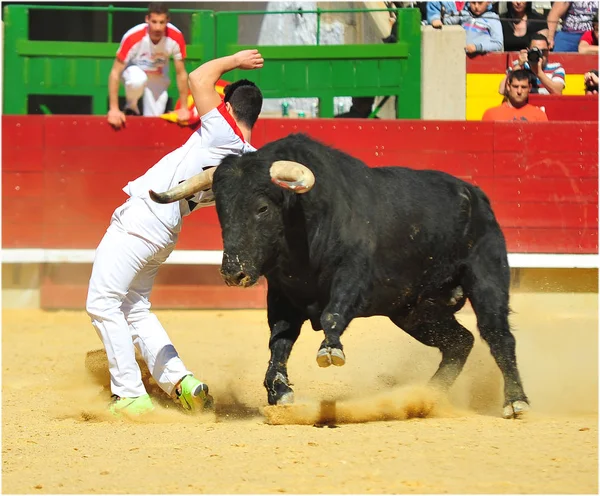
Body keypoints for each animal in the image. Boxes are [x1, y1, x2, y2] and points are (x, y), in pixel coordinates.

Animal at [151, 133, 528, 418]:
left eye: (262, 207)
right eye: (221, 209)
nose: (234, 272)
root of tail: (475, 194)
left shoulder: (354, 276)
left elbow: (334, 312)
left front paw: (330, 350)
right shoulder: (283, 297)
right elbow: (279, 341)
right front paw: (279, 389)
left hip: (486, 278)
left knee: (498, 336)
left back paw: (515, 401)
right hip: (415, 310)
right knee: (459, 341)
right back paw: (427, 395)